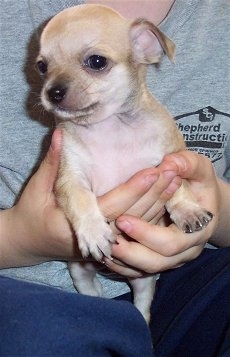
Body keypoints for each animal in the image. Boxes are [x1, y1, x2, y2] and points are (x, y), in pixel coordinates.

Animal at [36, 4, 213, 322]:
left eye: (96, 62)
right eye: (42, 67)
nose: (52, 92)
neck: (110, 127)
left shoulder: (169, 159)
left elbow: (179, 187)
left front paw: (186, 210)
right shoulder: (70, 177)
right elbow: (81, 199)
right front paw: (94, 230)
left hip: (144, 280)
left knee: (142, 304)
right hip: (79, 270)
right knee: (91, 289)